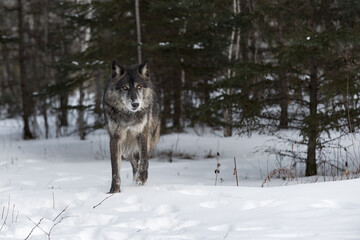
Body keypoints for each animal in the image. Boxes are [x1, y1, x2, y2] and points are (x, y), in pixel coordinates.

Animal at [103, 60, 161, 193]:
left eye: (139, 87)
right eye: (125, 88)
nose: (135, 104)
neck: (129, 116)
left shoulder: (142, 133)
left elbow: (144, 160)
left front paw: (142, 178)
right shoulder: (115, 139)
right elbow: (115, 169)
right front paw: (114, 190)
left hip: (150, 139)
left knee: (145, 160)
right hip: (126, 149)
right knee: (134, 162)